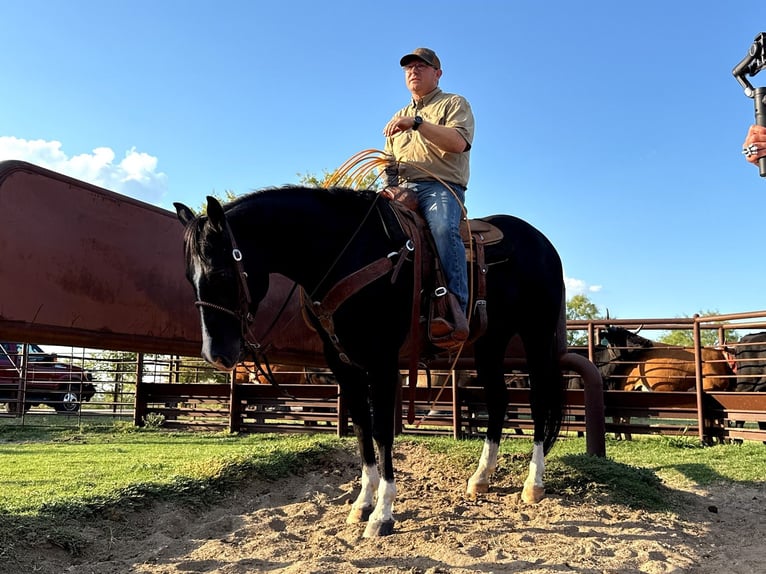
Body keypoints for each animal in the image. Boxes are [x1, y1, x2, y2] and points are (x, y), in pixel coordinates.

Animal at [174, 186, 566, 537]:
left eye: (222, 275)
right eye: (189, 278)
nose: (215, 354)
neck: (346, 253)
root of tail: (544, 244)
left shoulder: (382, 363)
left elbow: (381, 433)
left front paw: (383, 514)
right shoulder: (344, 366)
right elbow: (362, 431)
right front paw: (362, 503)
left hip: (536, 336)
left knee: (538, 402)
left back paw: (533, 483)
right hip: (490, 342)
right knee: (499, 401)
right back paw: (481, 478)